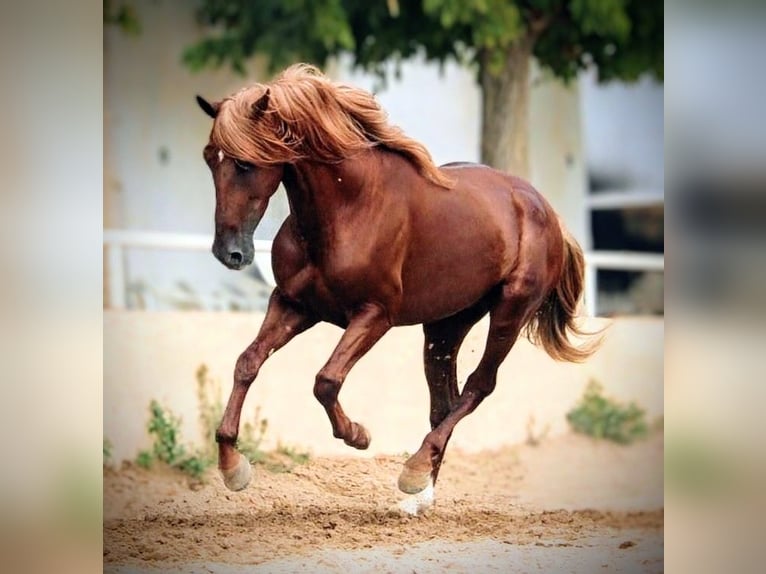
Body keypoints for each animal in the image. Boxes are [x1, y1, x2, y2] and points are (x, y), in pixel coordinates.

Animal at [196, 63, 598, 512]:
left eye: (245, 164)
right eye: (210, 158)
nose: (229, 252)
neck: (348, 207)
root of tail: (545, 210)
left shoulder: (375, 315)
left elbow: (326, 380)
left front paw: (358, 435)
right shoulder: (294, 305)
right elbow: (247, 362)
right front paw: (232, 467)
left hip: (510, 310)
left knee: (478, 386)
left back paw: (414, 471)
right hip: (446, 325)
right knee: (443, 402)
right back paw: (419, 497)